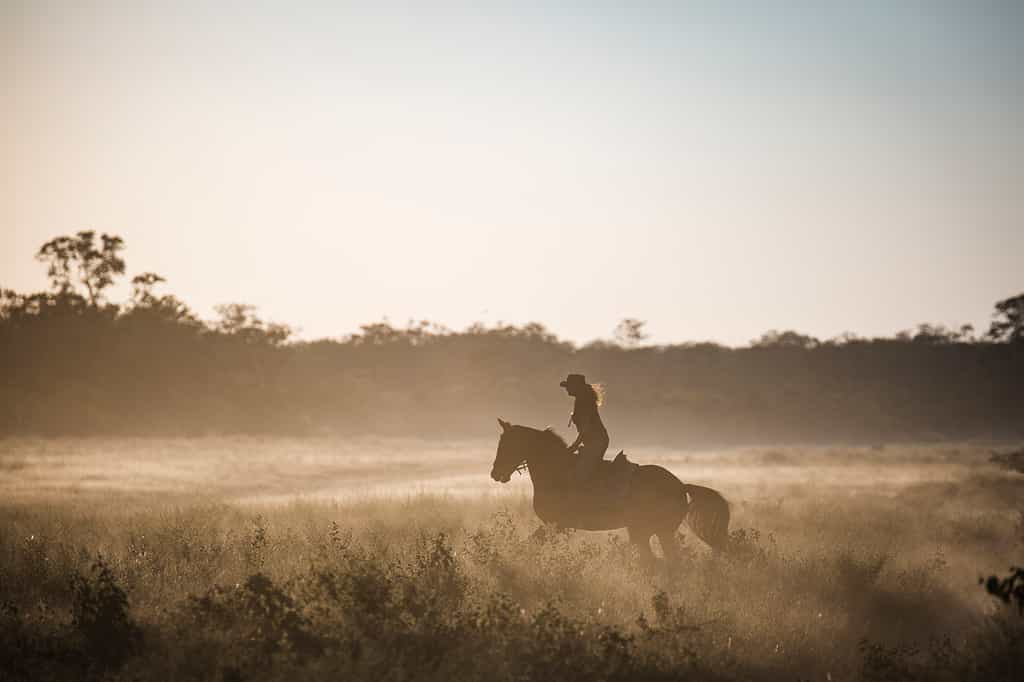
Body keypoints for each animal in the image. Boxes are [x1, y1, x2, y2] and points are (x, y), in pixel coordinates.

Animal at [489, 418, 730, 565]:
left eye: (507, 445)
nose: (495, 473)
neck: (556, 471)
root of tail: (681, 486)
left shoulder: (557, 525)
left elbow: (529, 544)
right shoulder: (555, 527)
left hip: (647, 532)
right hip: (654, 533)